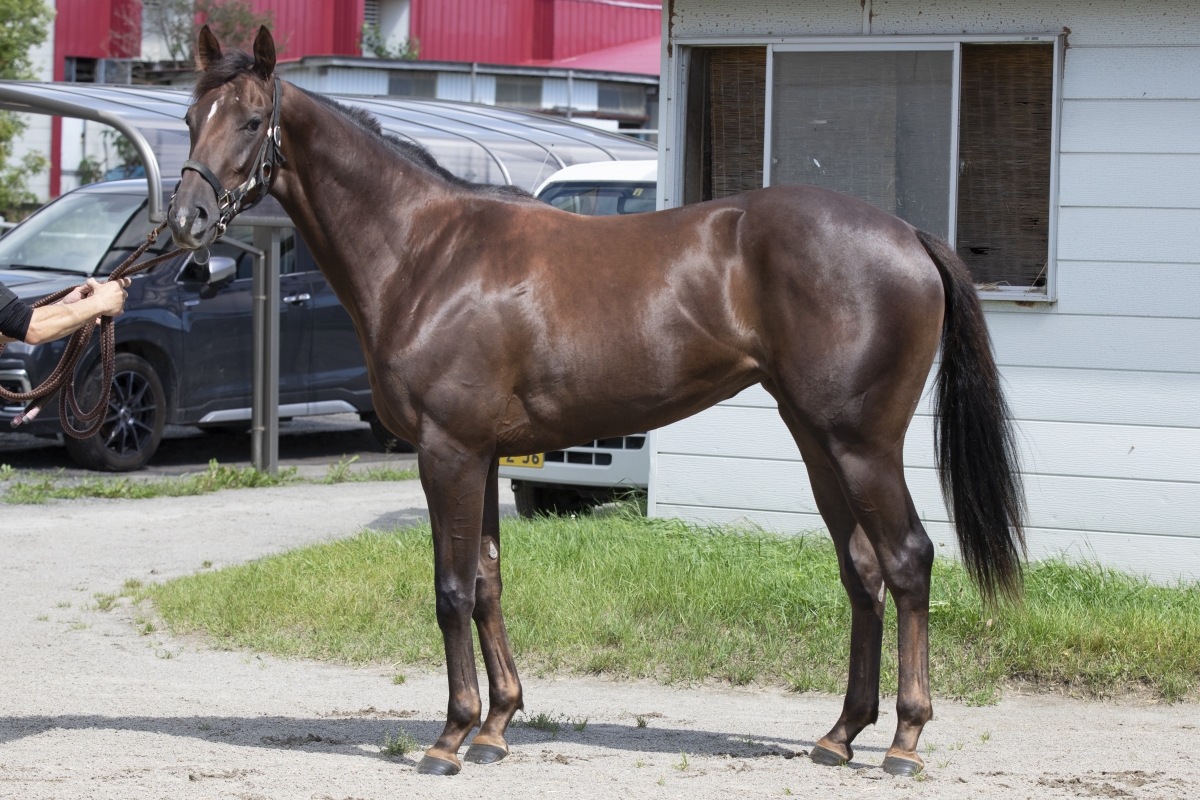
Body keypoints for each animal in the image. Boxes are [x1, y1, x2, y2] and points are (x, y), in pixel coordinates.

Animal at [169, 28, 1027, 777]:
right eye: (188, 117)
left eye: (251, 120)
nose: (186, 222)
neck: (428, 254)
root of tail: (909, 236)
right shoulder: (482, 456)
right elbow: (488, 583)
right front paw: (497, 725)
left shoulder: (446, 451)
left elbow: (451, 592)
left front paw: (450, 737)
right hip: (819, 442)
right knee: (862, 570)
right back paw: (841, 734)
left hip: (862, 445)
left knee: (908, 561)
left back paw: (905, 741)